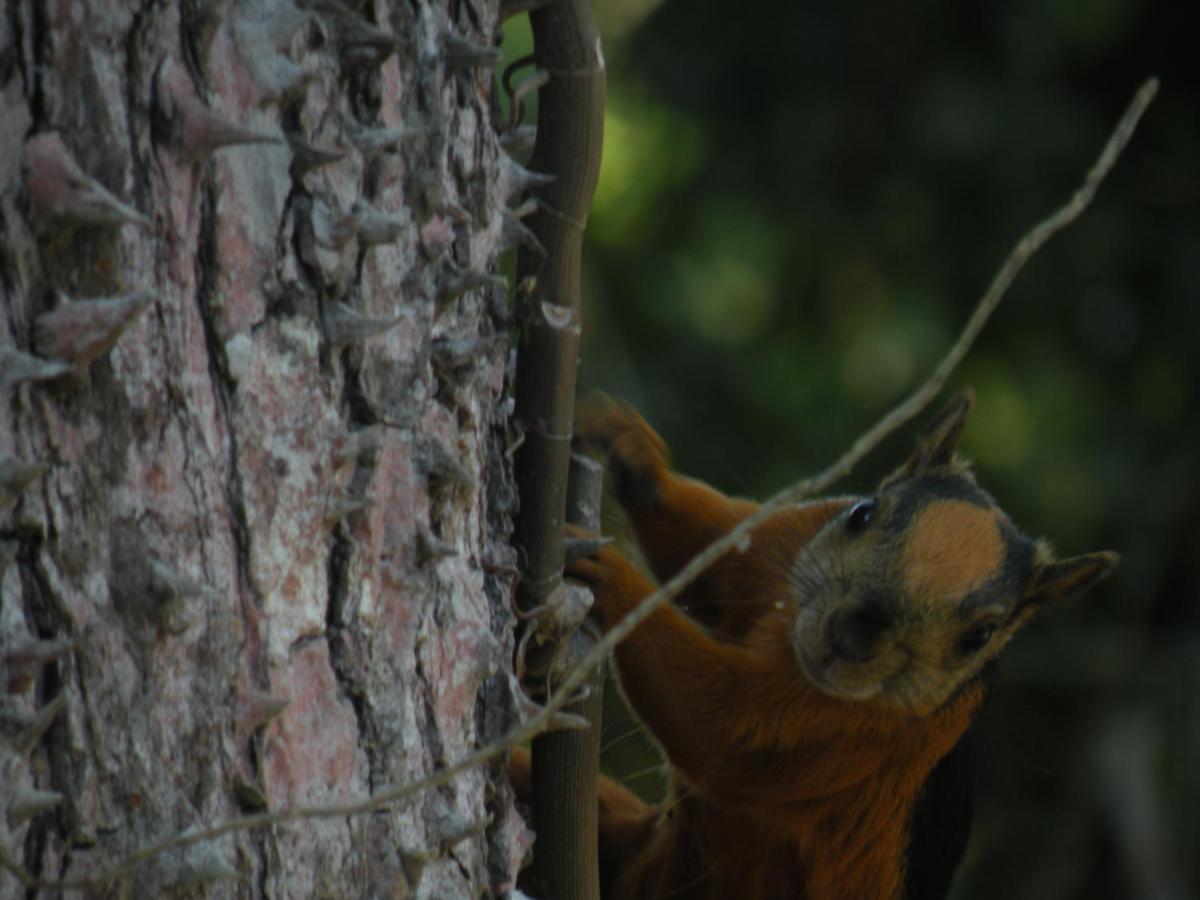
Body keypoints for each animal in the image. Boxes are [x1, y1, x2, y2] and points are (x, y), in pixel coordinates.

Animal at [511, 393, 1118, 900]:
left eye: (979, 637)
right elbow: (721, 548)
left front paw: (615, 577)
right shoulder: (786, 544)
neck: (792, 647)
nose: (853, 634)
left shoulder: (858, 736)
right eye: (862, 512)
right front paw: (627, 444)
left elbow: (725, 729)